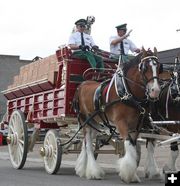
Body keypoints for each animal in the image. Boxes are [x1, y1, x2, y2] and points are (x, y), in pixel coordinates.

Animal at [74, 47, 161, 182]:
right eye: (144, 67)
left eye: (159, 67)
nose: (155, 91)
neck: (127, 93)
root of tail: (82, 85)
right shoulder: (121, 123)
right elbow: (129, 144)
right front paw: (128, 174)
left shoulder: (136, 125)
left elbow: (133, 146)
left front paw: (133, 174)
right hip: (85, 121)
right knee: (88, 145)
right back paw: (94, 172)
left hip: (94, 123)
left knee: (85, 143)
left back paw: (82, 169)